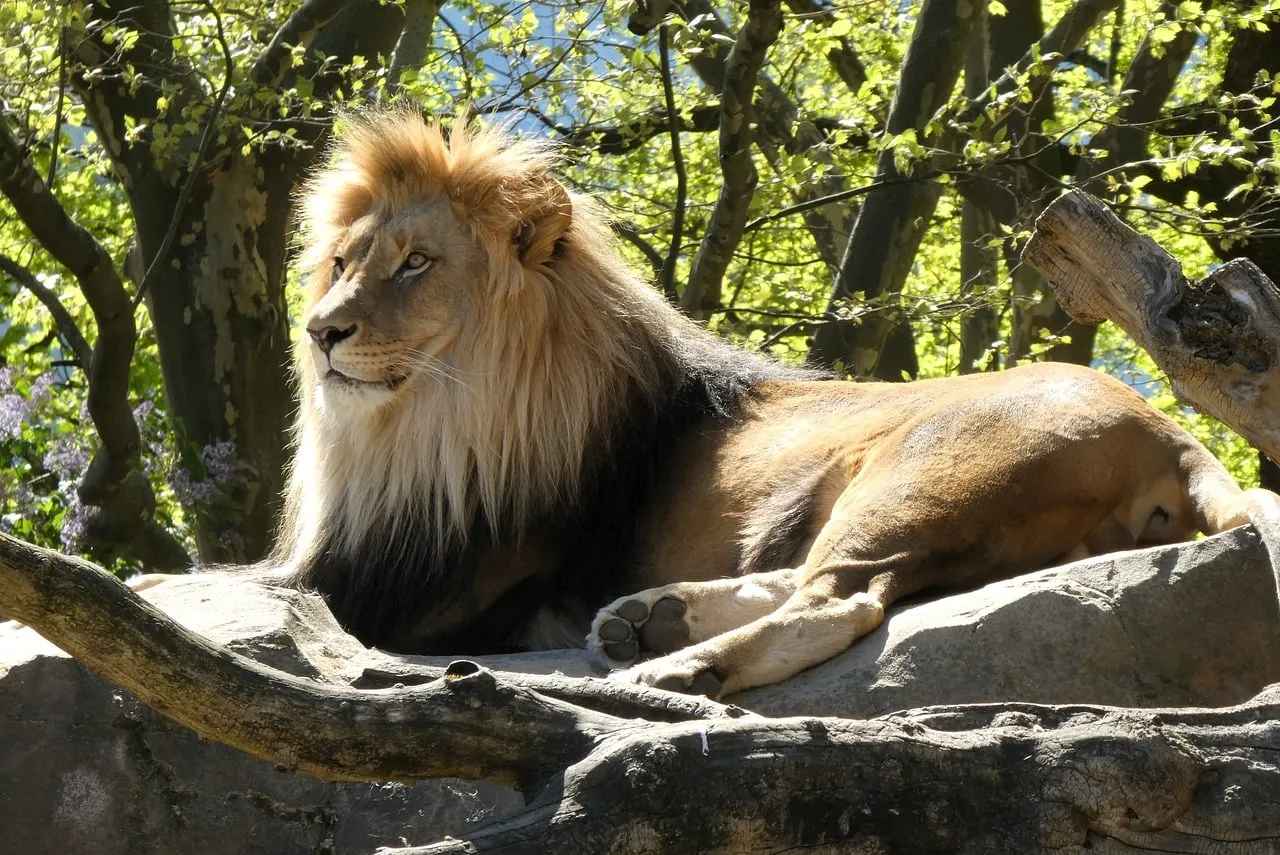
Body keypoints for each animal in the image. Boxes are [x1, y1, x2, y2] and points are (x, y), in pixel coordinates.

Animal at [278, 109, 1280, 698]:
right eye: (343, 262)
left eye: (416, 263)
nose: (320, 330)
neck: (424, 428)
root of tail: (1172, 432)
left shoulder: (419, 589)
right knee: (819, 581)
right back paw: (645, 621)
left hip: (919, 473)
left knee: (842, 601)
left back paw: (677, 664)